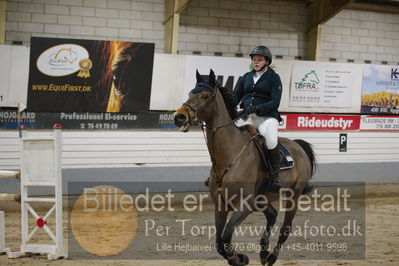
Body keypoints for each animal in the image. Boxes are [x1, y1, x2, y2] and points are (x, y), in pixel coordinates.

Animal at [174, 69, 316, 264]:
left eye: (204, 96)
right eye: (190, 94)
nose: (179, 117)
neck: (230, 155)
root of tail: (299, 146)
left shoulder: (244, 205)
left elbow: (226, 236)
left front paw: (239, 258)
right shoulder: (221, 205)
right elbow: (220, 243)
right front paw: (239, 257)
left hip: (292, 197)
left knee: (285, 229)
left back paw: (271, 257)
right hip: (262, 199)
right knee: (272, 215)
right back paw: (263, 252)